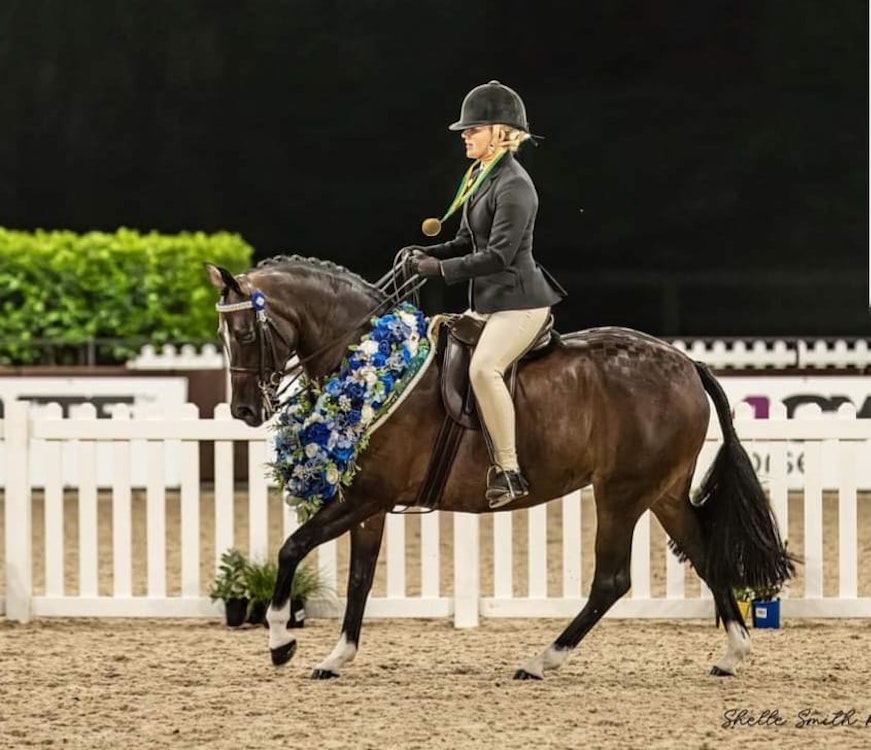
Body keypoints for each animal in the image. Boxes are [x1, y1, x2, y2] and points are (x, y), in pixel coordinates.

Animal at [206, 253, 795, 680]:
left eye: (247, 334)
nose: (245, 411)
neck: (367, 354)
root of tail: (688, 363)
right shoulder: (367, 501)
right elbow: (359, 579)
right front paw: (336, 656)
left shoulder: (366, 496)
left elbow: (292, 548)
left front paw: (281, 639)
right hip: (664, 491)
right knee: (706, 555)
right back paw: (732, 654)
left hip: (622, 493)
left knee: (612, 580)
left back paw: (541, 661)